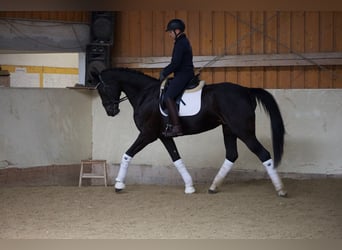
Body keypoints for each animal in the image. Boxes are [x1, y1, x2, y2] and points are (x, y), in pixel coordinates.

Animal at [93, 67, 286, 196]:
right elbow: (177, 158)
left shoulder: (147, 134)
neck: (145, 95)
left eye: (102, 89)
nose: (111, 111)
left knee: (263, 153)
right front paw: (190, 186)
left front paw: (119, 184)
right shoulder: (163, 136)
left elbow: (127, 154)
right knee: (232, 155)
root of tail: (246, 91)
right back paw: (213, 187)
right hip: (229, 130)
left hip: (243, 131)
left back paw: (280, 190)